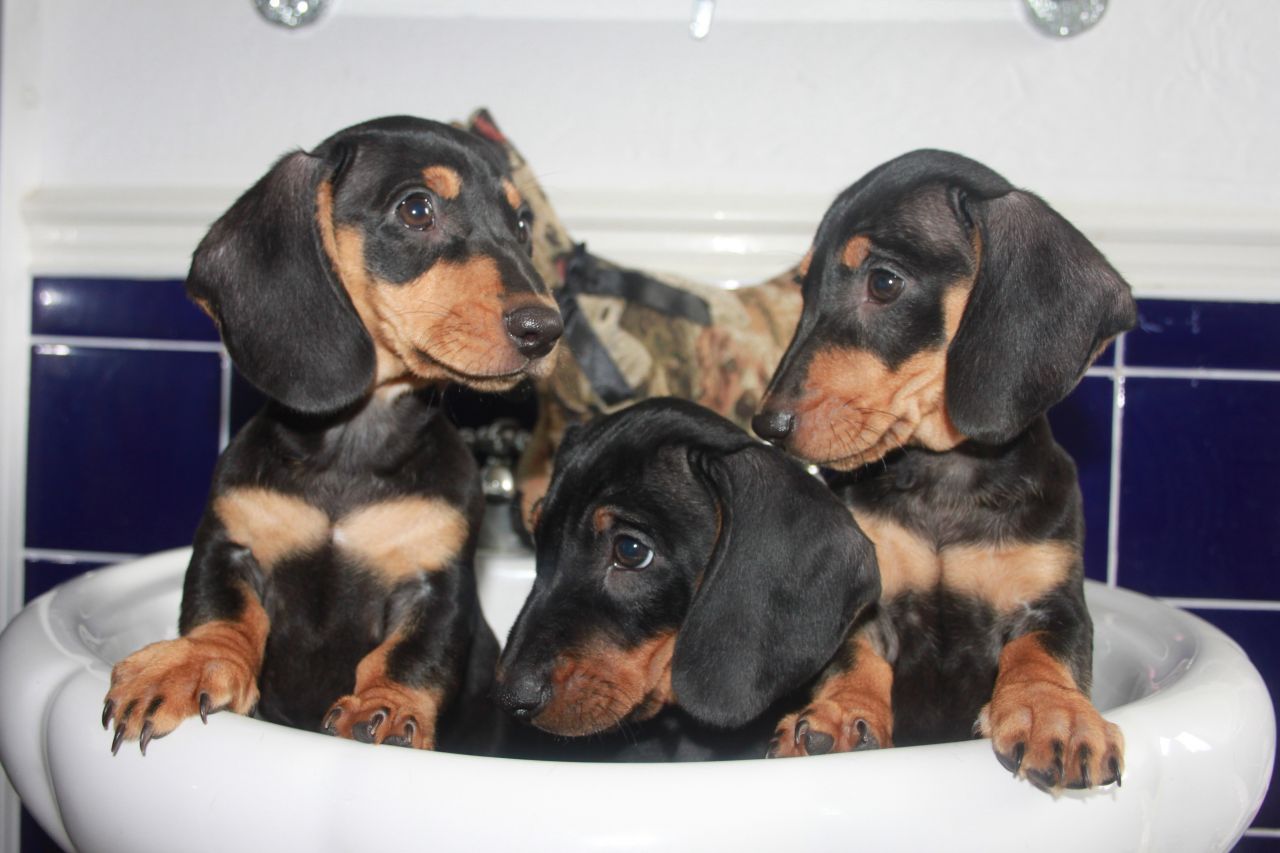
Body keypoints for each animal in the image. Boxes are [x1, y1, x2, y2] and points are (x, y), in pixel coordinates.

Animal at [99, 112, 560, 753]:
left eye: (521, 224)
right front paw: (190, 663)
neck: (353, 448)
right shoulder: (229, 543)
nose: (547, 329)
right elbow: (220, 612)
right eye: (416, 209)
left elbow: (414, 653)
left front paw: (388, 707)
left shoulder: (436, 581)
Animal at [752, 147, 1136, 788]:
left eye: (884, 282)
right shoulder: (867, 597)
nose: (767, 424)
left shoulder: (1054, 602)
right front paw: (840, 711)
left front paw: (1052, 714)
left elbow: (1042, 652)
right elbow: (853, 655)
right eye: (804, 290)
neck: (947, 479)